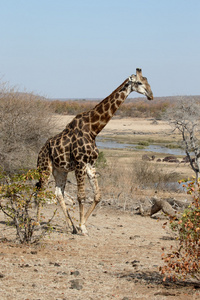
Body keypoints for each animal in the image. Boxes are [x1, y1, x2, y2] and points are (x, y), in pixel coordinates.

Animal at [36, 68, 153, 234]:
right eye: (139, 82)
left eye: (148, 81)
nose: (151, 95)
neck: (93, 130)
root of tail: (40, 151)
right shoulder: (80, 163)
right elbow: (81, 196)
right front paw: (82, 227)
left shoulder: (90, 164)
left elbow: (97, 195)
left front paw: (81, 225)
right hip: (45, 167)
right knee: (41, 190)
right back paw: (37, 223)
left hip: (60, 170)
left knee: (58, 193)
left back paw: (70, 226)